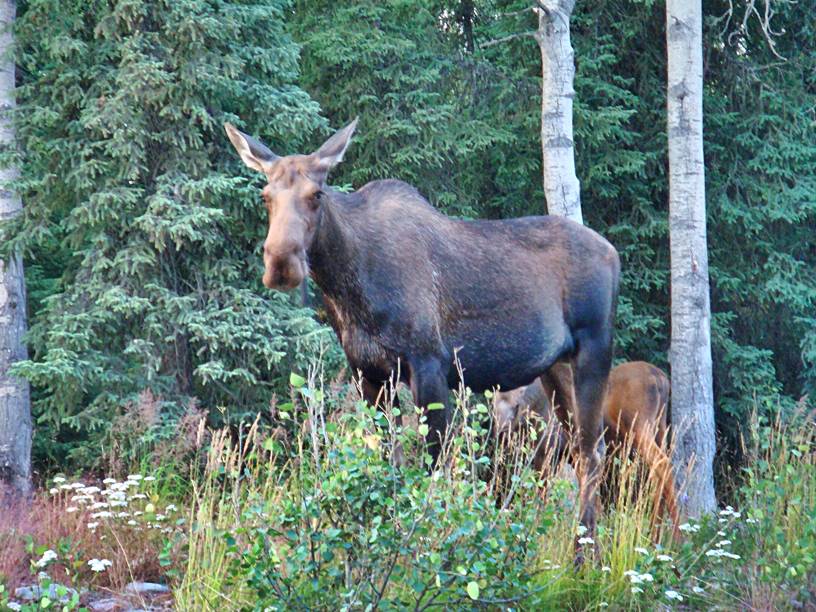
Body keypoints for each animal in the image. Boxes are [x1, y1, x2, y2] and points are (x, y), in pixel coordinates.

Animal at [223, 117, 620, 556]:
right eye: (265, 196)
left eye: (317, 194)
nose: (281, 262)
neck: (348, 292)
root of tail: (613, 253)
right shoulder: (369, 373)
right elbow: (390, 465)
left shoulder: (429, 365)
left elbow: (432, 472)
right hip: (555, 368)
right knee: (580, 449)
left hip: (595, 349)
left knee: (592, 450)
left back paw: (584, 556)